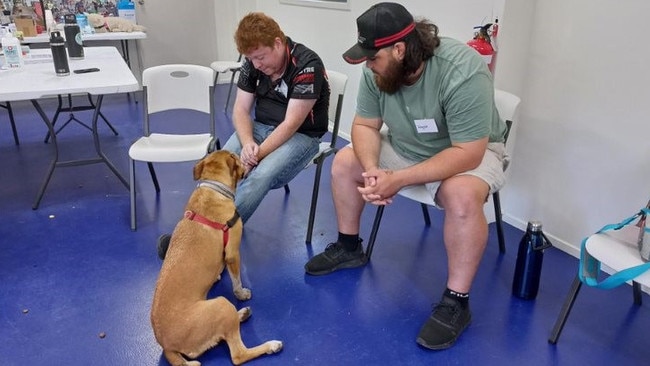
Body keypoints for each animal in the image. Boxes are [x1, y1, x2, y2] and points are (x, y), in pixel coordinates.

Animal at [152, 150, 284, 364]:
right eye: (237, 158)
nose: (247, 158)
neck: (214, 188)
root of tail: (167, 346)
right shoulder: (233, 253)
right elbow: (236, 279)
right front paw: (241, 293)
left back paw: (242, 314)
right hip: (221, 304)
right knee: (238, 355)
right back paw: (271, 345)